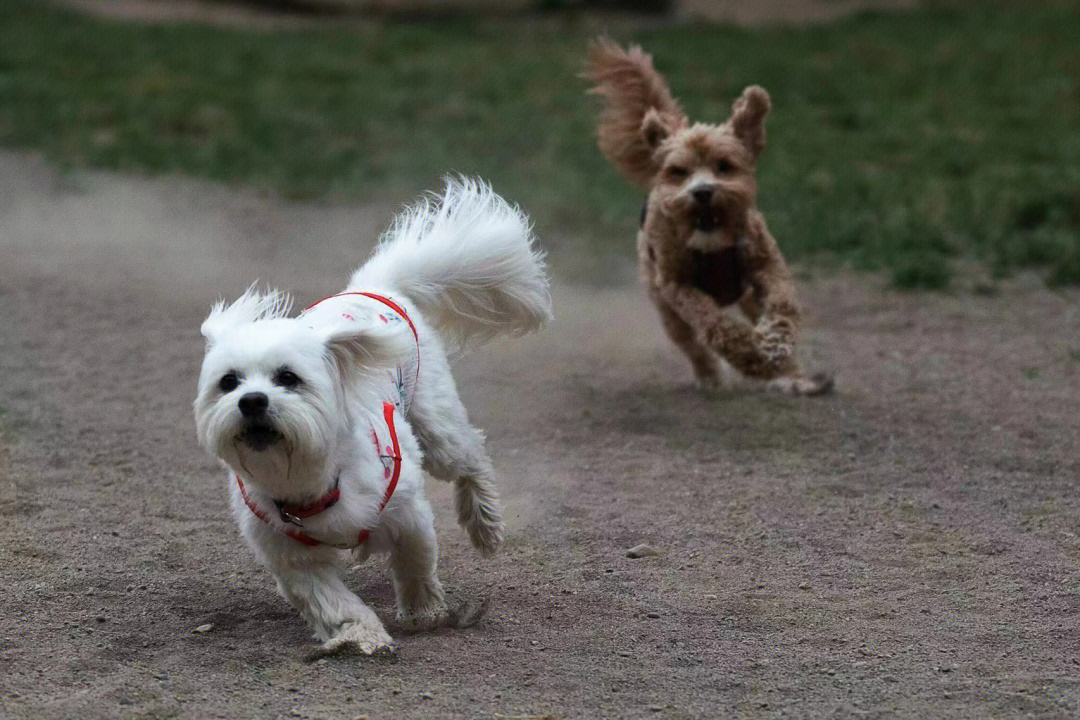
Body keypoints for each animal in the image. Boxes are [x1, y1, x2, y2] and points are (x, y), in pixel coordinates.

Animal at [192, 180, 548, 660]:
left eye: (288, 378)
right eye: (228, 382)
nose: (251, 401)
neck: (309, 482)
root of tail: (373, 288)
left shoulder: (408, 513)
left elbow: (415, 562)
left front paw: (424, 612)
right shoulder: (290, 558)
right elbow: (332, 600)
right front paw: (361, 634)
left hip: (436, 426)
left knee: (471, 457)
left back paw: (485, 524)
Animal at [587, 39, 829, 397]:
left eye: (724, 166)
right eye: (679, 172)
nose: (701, 192)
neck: (714, 244)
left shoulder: (766, 265)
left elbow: (782, 304)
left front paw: (776, 344)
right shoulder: (678, 287)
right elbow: (714, 324)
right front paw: (748, 355)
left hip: (746, 295)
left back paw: (793, 375)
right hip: (665, 306)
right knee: (691, 344)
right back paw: (711, 376)